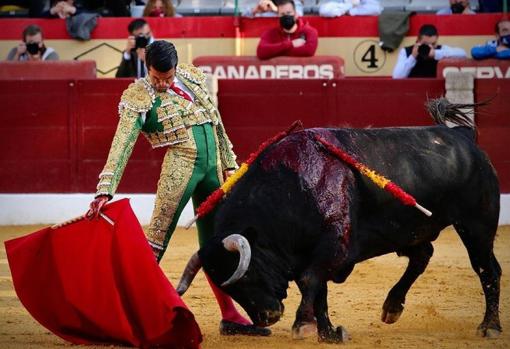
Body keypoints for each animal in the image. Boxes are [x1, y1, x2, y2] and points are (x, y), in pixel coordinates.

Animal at [177, 108, 500, 340]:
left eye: (246, 276)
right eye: (230, 289)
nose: (267, 317)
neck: (291, 187)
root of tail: (462, 136)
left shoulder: (334, 244)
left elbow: (310, 281)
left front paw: (303, 325)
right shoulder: (312, 253)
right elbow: (319, 290)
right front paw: (329, 332)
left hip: (476, 224)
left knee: (487, 269)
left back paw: (490, 327)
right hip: (409, 231)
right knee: (422, 256)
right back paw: (392, 308)